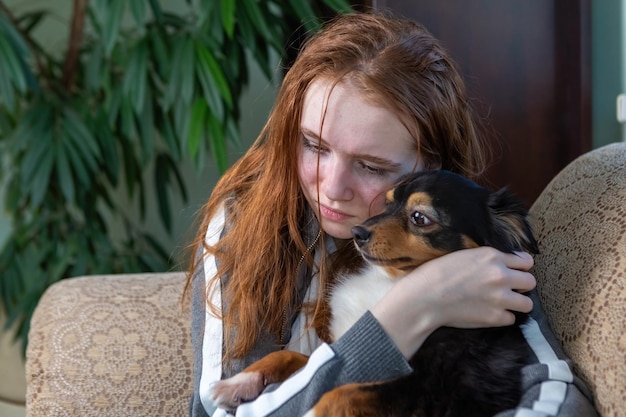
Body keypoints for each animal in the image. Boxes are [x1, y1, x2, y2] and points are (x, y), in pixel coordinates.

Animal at [208, 170, 536, 416]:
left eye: (420, 217)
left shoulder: (439, 390)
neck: (393, 282)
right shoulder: (338, 346)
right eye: (387, 204)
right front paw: (240, 381)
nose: (357, 233)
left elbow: (341, 393)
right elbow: (289, 356)